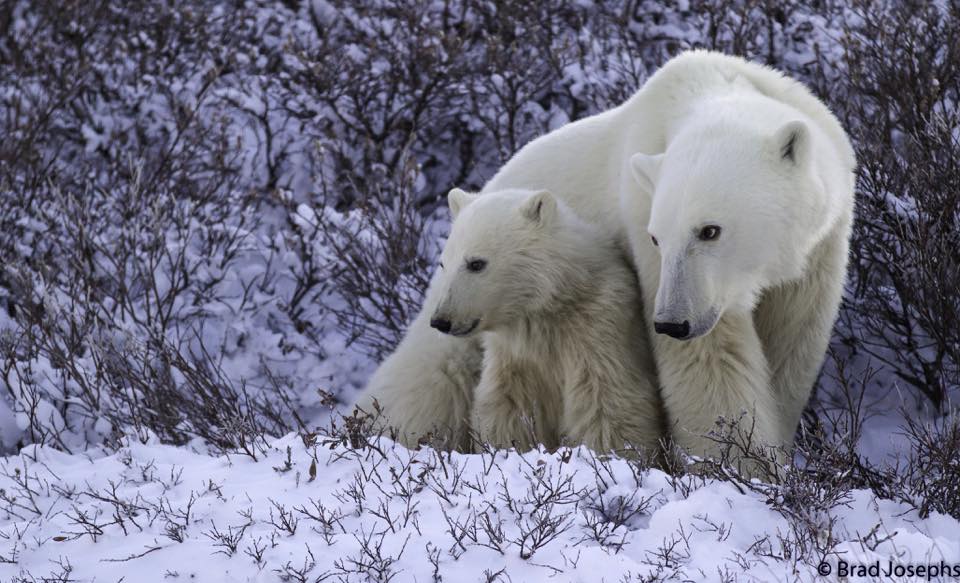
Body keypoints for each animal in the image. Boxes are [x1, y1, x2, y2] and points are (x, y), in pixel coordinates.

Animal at [429, 187, 665, 455]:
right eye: (443, 263)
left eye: (476, 263)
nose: (441, 320)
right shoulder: (515, 355)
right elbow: (508, 408)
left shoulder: (597, 332)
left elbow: (607, 403)